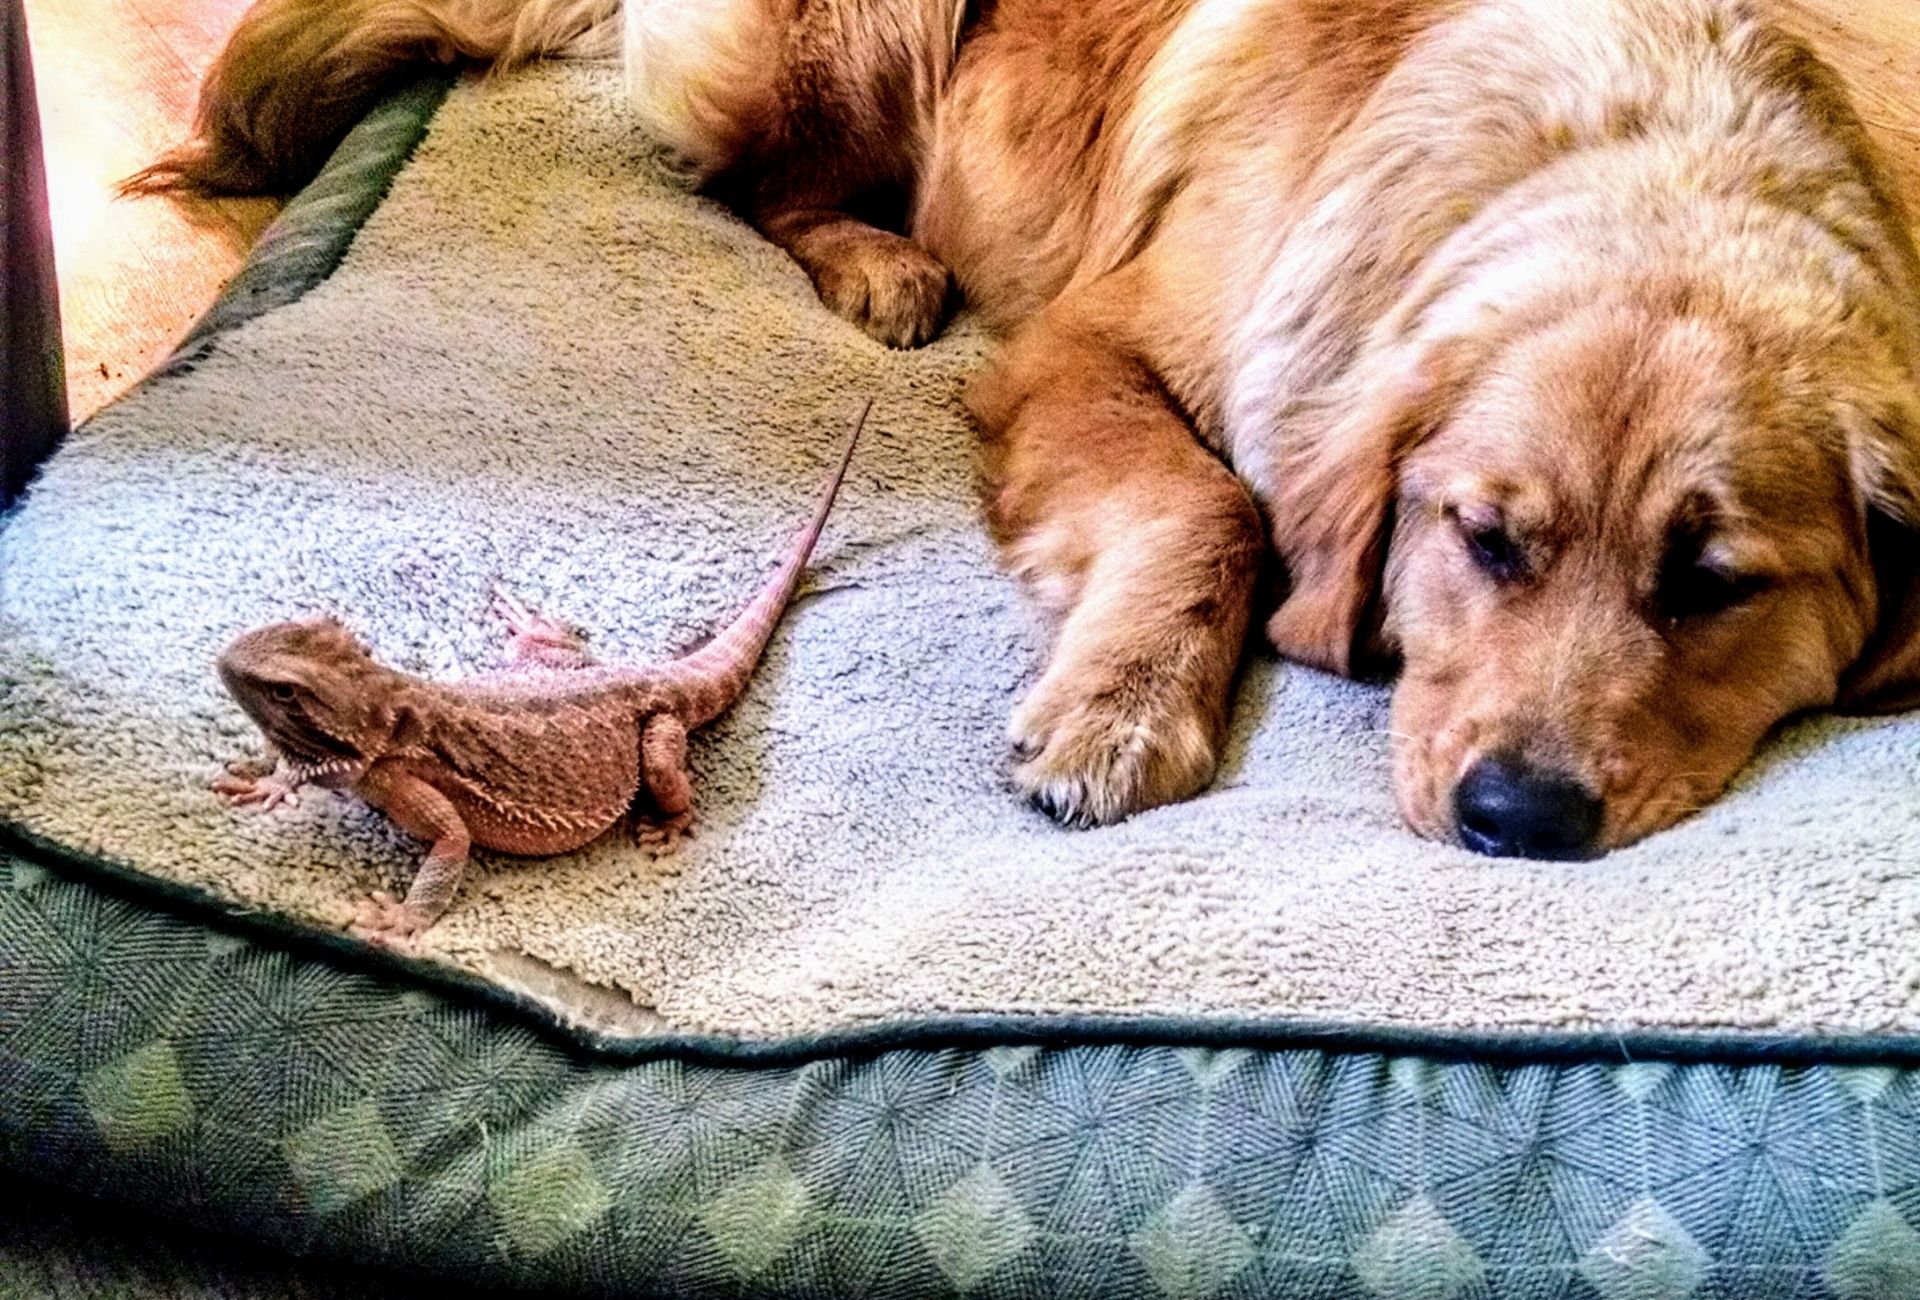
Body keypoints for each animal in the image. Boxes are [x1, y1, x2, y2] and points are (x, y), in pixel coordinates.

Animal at [139, 0, 1920, 856]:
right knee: (747, 180)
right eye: (1485, 540)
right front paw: (1120, 710)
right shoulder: (1088, 341)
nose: (1519, 823)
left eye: (1715, 585)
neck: (1640, 141)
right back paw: (878, 263)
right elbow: (1221, 507)